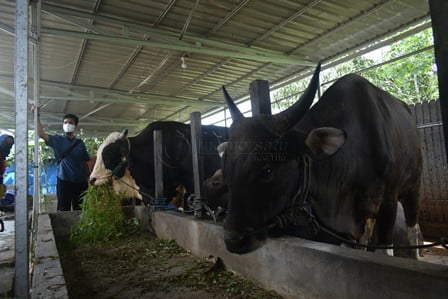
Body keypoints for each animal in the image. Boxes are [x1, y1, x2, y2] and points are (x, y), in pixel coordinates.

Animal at [220, 64, 424, 258]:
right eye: (226, 172)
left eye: (266, 170)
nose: (233, 240)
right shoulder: (346, 227)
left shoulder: (388, 205)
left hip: (413, 188)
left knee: (412, 230)